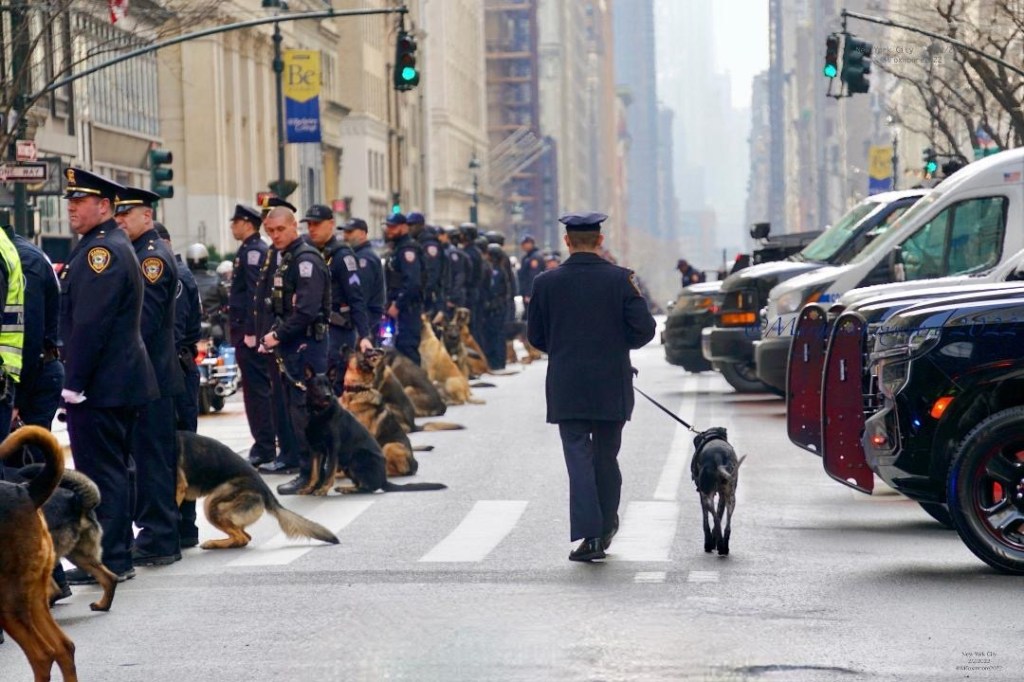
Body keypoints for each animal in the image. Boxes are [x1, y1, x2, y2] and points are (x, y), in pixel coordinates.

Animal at [174, 430, 337, 548]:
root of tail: (265, 489)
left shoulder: (179, 488)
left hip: (213, 504)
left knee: (242, 538)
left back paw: (213, 543)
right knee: (245, 536)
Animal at [303, 366, 448, 493]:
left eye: (329, 385)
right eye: (317, 385)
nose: (328, 395)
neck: (319, 414)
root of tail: (384, 480)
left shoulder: (333, 449)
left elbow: (329, 471)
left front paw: (322, 489)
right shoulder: (315, 449)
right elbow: (315, 473)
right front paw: (310, 488)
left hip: (368, 453)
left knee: (370, 486)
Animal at [688, 428, 745, 557]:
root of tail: (718, 456)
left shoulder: (702, 495)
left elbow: (706, 522)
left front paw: (708, 544)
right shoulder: (723, 497)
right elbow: (719, 513)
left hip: (707, 497)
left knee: (716, 520)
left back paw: (718, 545)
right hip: (731, 498)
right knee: (727, 526)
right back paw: (724, 548)